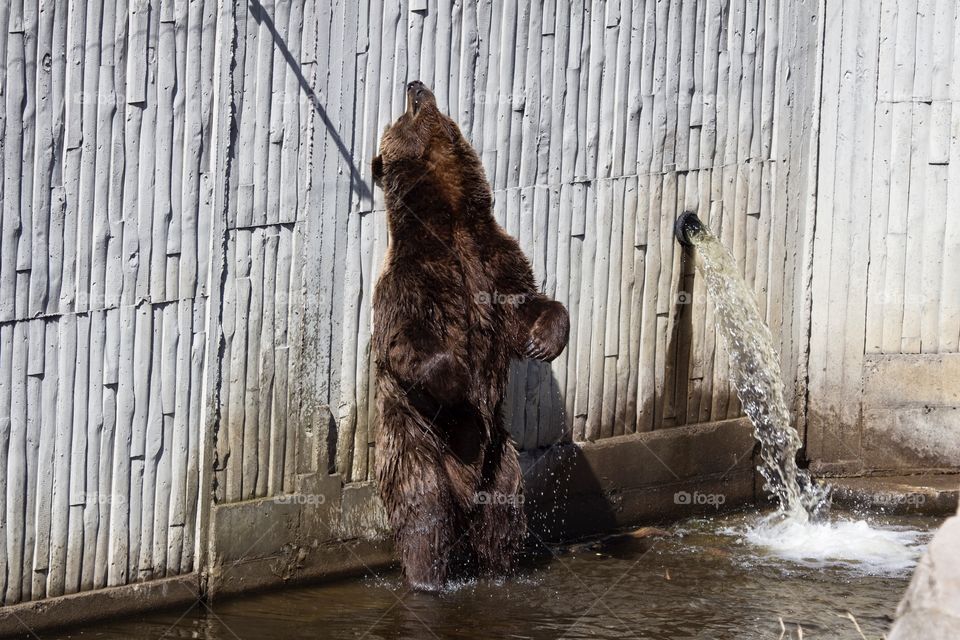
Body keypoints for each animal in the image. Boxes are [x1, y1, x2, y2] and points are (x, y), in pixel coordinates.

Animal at [371, 80, 569, 590]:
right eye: (402, 116)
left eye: (418, 103)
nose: (415, 84)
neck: (451, 216)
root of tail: (467, 491)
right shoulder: (411, 280)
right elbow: (407, 341)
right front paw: (458, 379)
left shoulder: (491, 256)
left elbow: (525, 303)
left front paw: (544, 341)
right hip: (419, 444)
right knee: (426, 519)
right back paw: (426, 579)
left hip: (502, 463)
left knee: (503, 523)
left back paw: (502, 569)